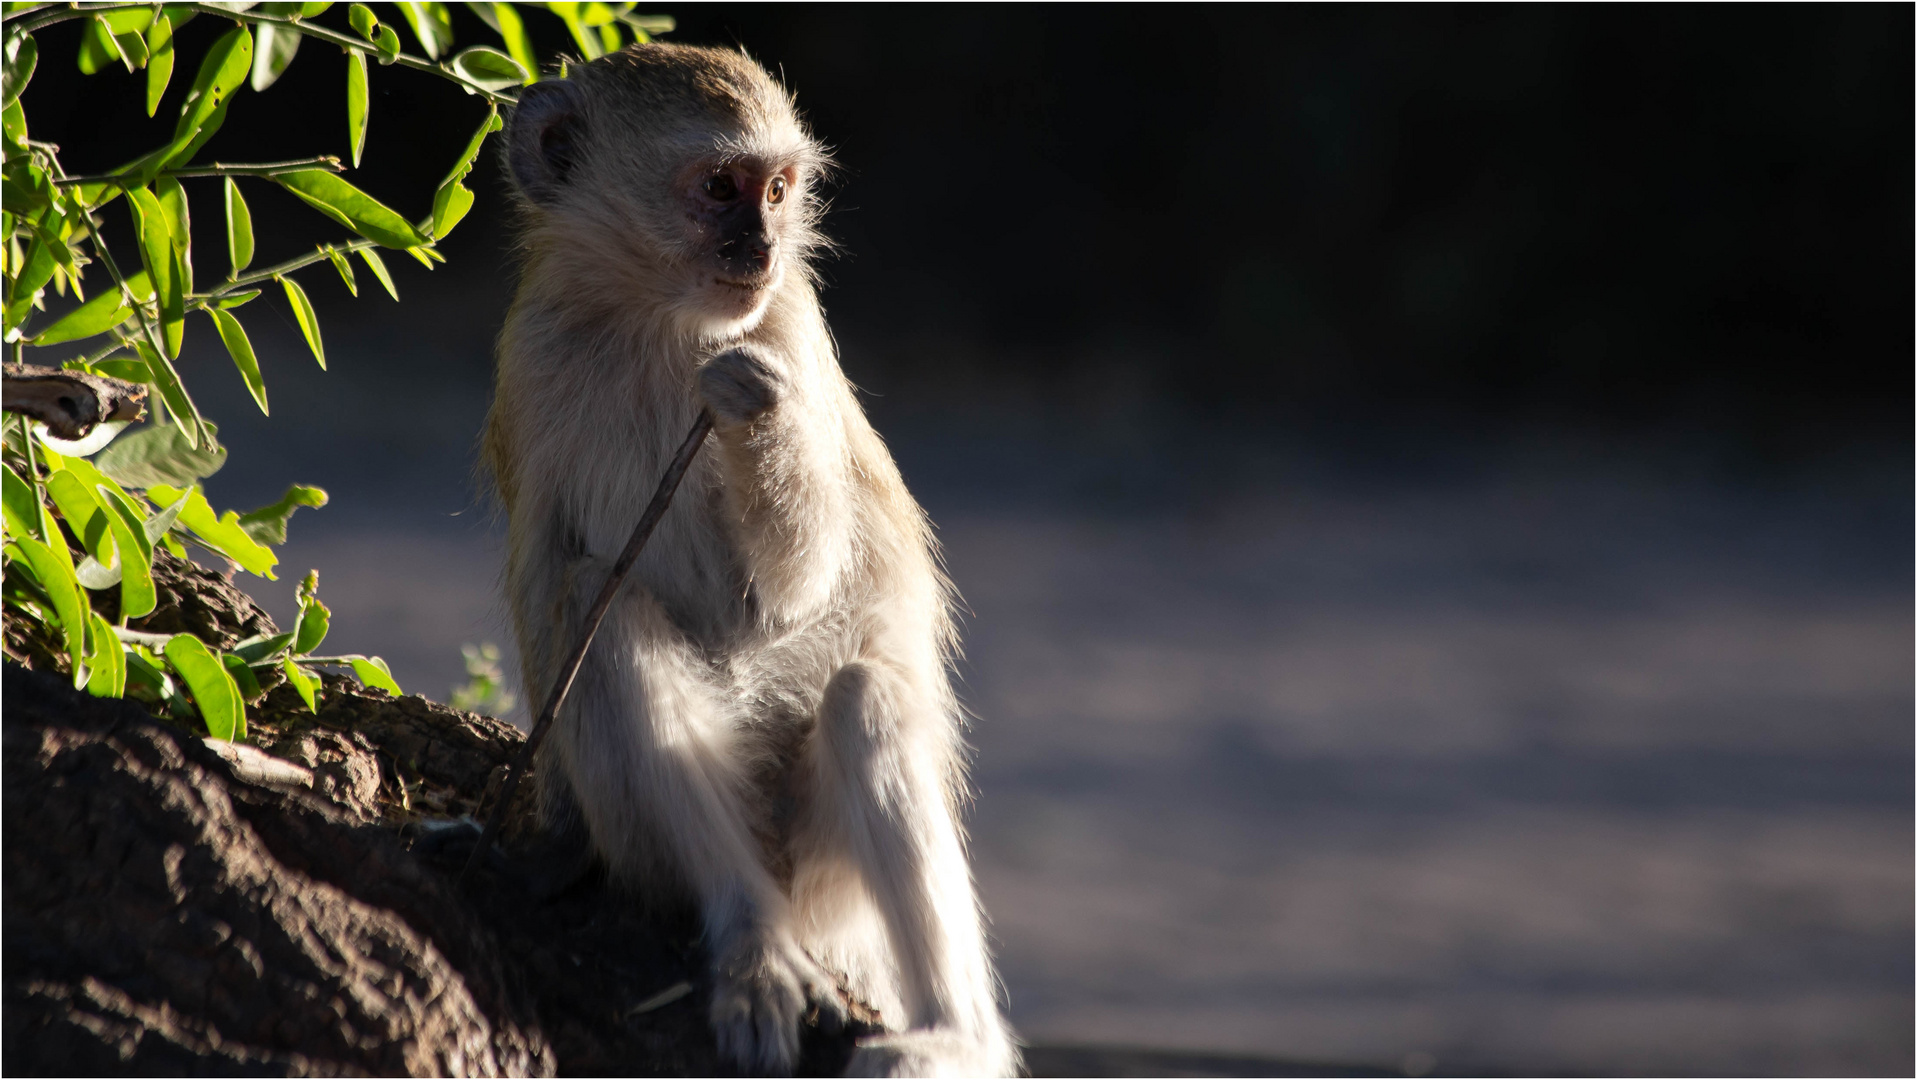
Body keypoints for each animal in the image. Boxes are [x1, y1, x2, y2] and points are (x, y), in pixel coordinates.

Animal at [483, 44, 1019, 1080]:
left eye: (776, 190)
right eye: (719, 188)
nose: (763, 250)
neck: (652, 317)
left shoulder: (788, 330)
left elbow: (791, 589)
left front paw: (756, 409)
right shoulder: (531, 357)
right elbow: (546, 574)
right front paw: (555, 835)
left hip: (825, 874)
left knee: (864, 699)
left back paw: (952, 1036)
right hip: (658, 845)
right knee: (597, 605)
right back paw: (752, 941)